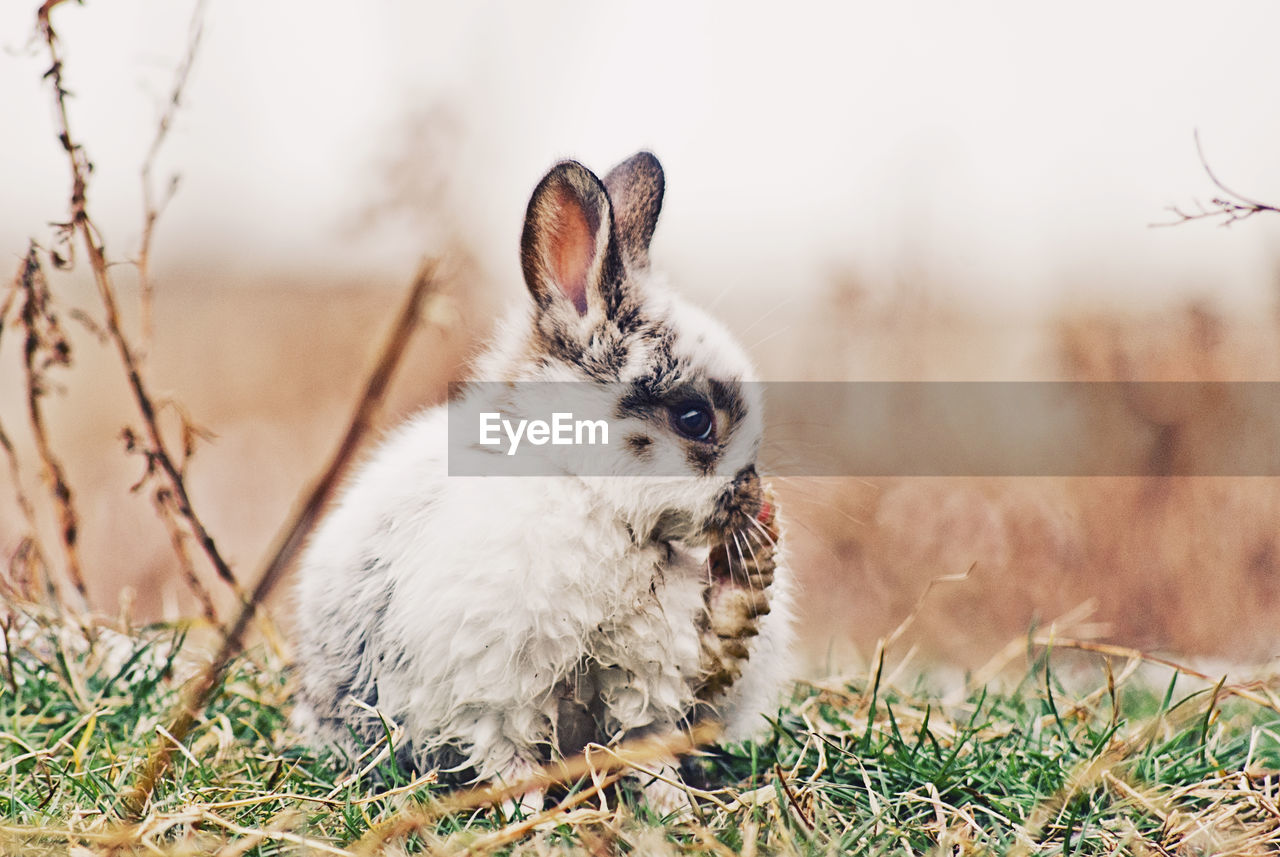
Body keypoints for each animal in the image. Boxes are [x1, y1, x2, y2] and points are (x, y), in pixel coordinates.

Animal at [293, 150, 788, 813]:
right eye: (694, 419)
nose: (756, 500)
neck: (593, 499)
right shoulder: (490, 693)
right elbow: (507, 756)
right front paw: (528, 815)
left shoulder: (648, 681)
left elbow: (649, 747)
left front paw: (675, 810)